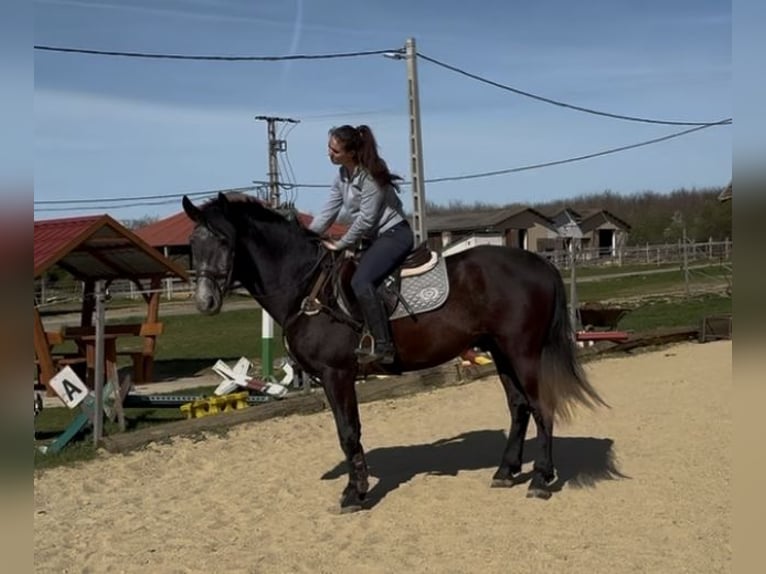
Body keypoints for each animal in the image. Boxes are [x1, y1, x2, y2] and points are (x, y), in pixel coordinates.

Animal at [182, 192, 607, 512]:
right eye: (191, 246)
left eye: (224, 240)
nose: (204, 301)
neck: (308, 288)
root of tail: (540, 263)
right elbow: (348, 432)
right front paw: (356, 488)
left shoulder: (337, 375)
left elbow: (348, 432)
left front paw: (355, 494)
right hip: (501, 352)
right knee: (519, 407)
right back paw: (506, 471)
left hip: (523, 352)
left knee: (541, 406)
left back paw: (541, 478)